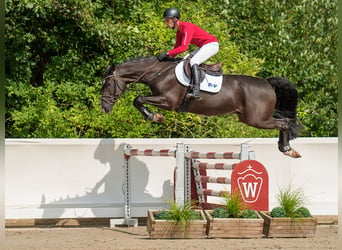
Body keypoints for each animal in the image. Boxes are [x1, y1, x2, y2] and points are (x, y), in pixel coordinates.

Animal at [102, 56, 302, 158]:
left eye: (107, 84)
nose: (104, 107)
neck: (158, 72)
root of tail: (267, 82)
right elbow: (138, 100)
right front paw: (155, 117)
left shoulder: (168, 101)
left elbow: (137, 99)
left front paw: (155, 117)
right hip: (250, 117)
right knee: (283, 120)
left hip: (257, 119)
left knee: (284, 122)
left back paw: (287, 150)